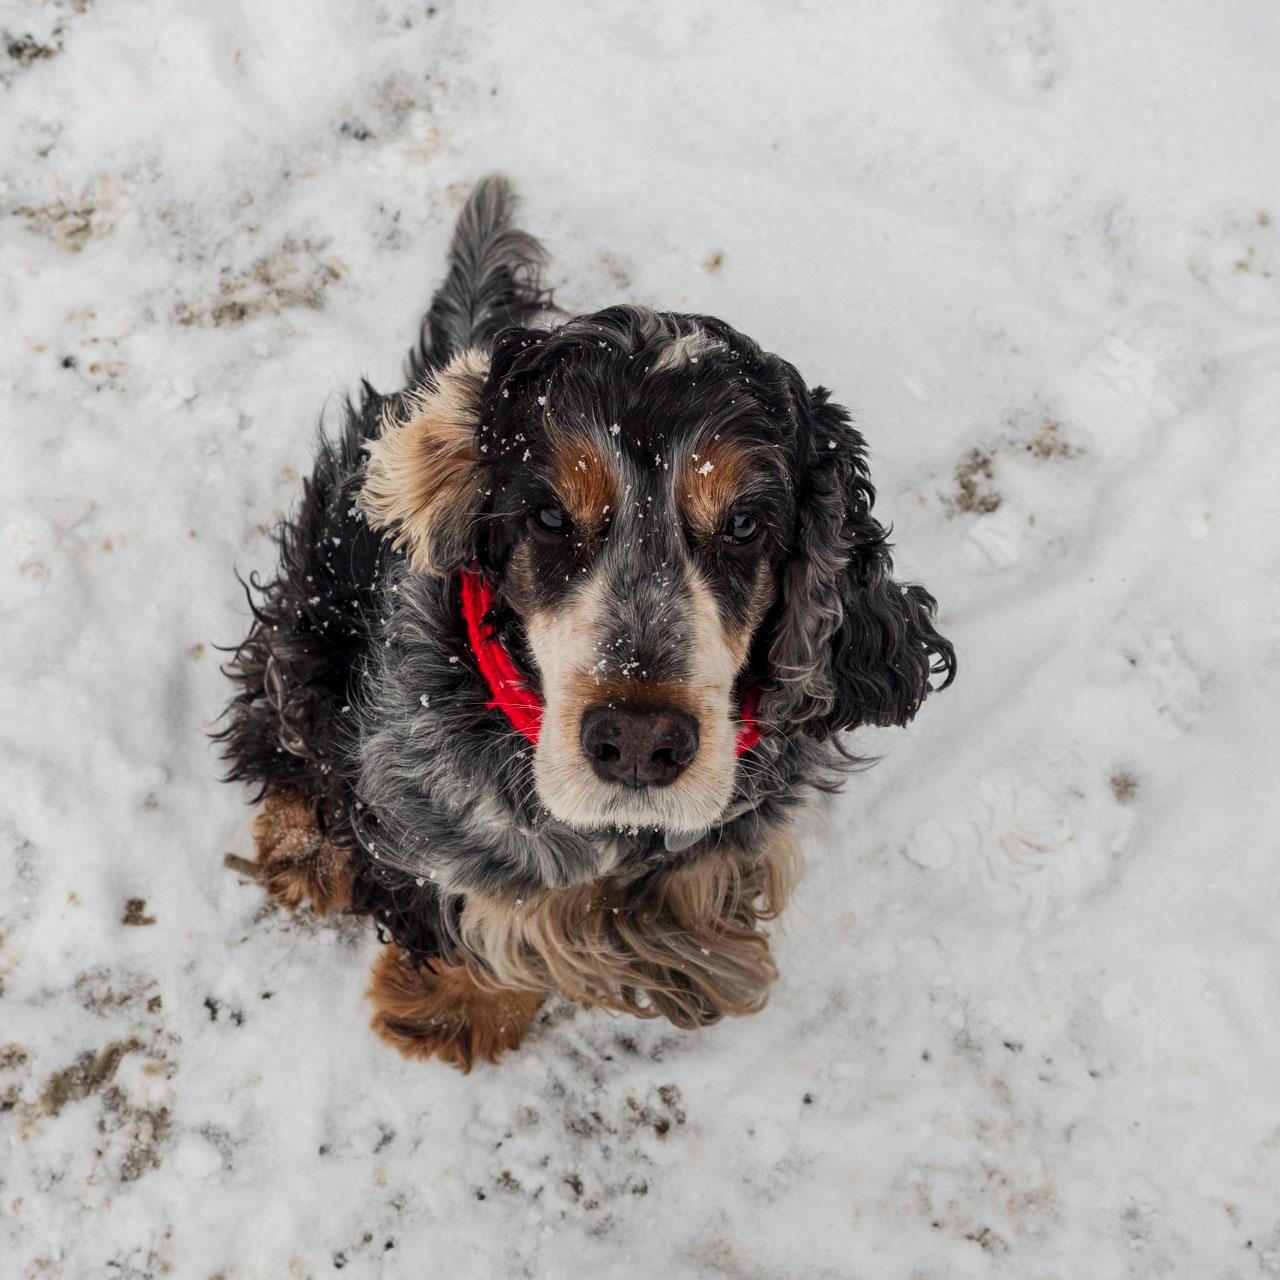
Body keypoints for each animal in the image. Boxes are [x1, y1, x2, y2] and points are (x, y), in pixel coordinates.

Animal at [220, 177, 957, 1070]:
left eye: (747, 525)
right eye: (546, 516)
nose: (639, 743)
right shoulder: (427, 802)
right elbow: (469, 893)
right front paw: (450, 1011)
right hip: (314, 611)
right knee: (279, 714)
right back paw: (301, 853)